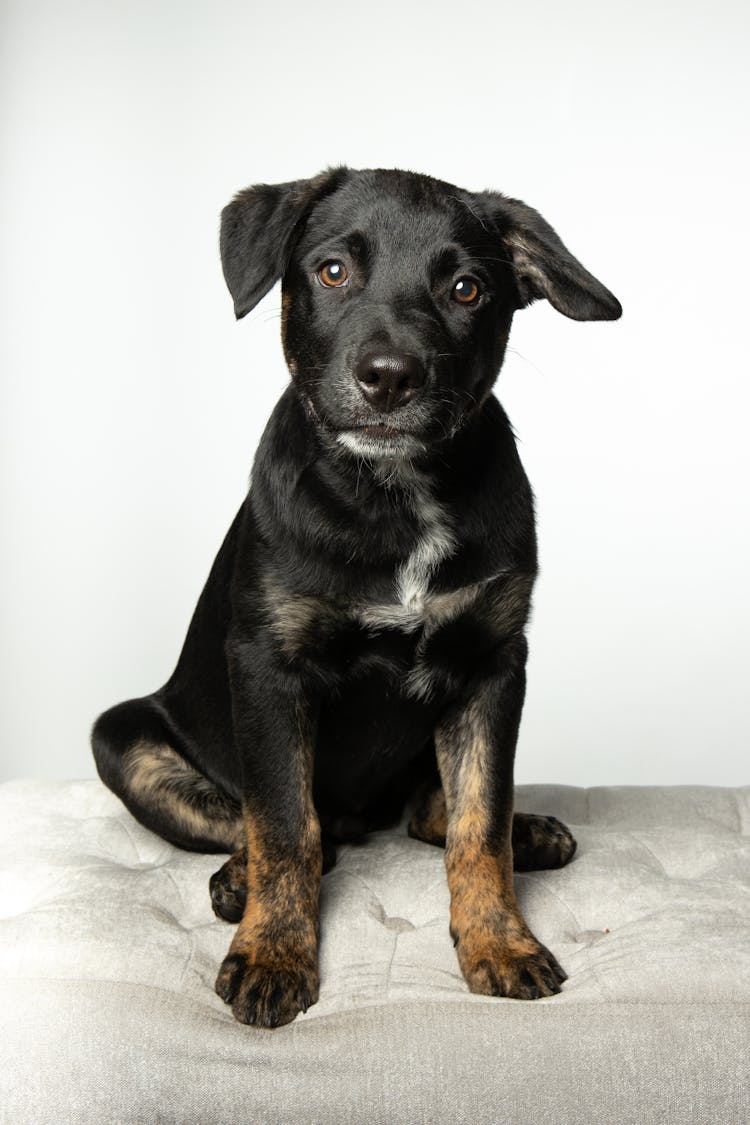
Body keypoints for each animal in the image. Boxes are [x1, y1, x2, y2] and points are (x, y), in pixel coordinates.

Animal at [93, 166, 620, 1030]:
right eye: (333, 270)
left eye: (467, 289)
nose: (390, 376)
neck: (393, 495)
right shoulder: (268, 667)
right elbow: (283, 823)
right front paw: (272, 952)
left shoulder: (493, 663)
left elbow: (479, 819)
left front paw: (499, 940)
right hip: (120, 736)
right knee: (278, 820)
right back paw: (240, 876)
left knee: (431, 808)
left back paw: (528, 833)